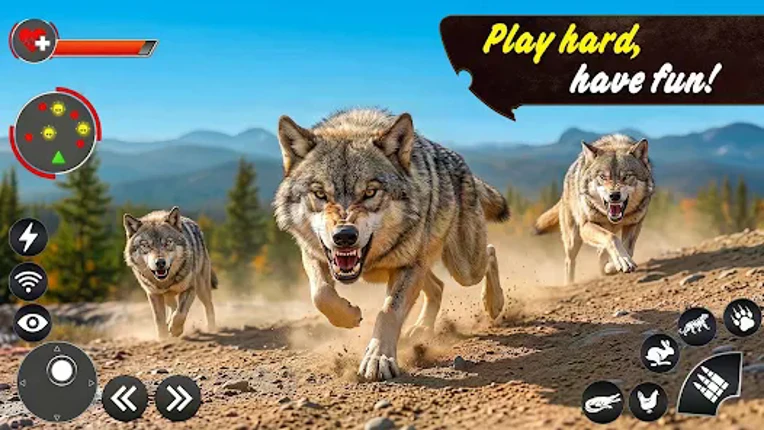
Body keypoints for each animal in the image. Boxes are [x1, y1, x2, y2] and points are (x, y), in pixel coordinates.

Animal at [123, 207, 217, 339]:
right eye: (145, 245)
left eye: (168, 242)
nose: (160, 262)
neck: (165, 282)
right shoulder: (153, 294)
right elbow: (159, 320)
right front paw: (163, 338)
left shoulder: (190, 289)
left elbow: (180, 313)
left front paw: (176, 330)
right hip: (168, 295)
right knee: (173, 306)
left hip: (202, 289)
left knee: (209, 306)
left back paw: (212, 329)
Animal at [273, 108, 509, 381]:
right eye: (320, 194)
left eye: (370, 192)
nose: (344, 236)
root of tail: (462, 164)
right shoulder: (312, 253)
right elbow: (320, 294)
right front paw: (349, 316)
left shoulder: (408, 267)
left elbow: (388, 313)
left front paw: (378, 358)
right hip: (424, 265)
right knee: (438, 286)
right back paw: (421, 328)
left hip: (462, 268)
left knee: (490, 252)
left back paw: (494, 303)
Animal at [534, 134, 654, 285]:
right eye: (603, 176)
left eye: (626, 176)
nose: (614, 195)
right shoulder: (586, 226)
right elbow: (612, 238)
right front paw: (620, 261)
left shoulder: (635, 223)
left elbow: (628, 249)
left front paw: (614, 265)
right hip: (573, 239)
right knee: (569, 261)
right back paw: (569, 284)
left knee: (601, 251)